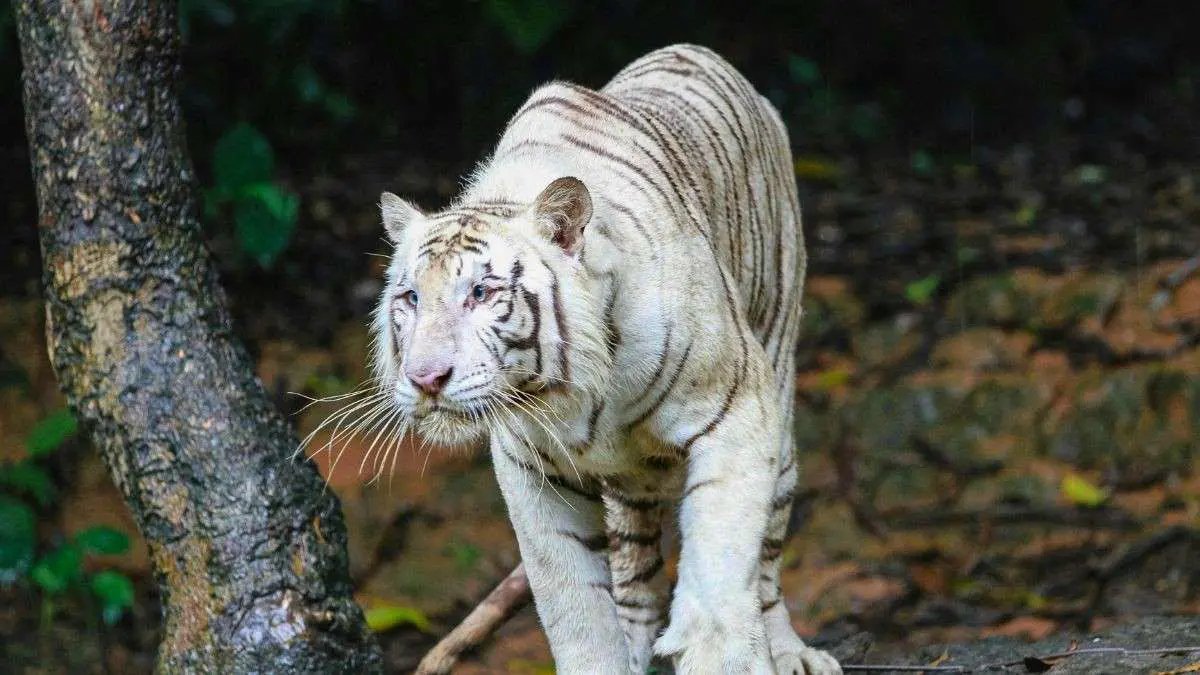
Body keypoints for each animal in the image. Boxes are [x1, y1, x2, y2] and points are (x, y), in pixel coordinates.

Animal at [370, 44, 842, 674]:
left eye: (482, 294)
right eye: (410, 299)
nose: (425, 378)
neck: (569, 392)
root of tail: (699, 51)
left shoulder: (738, 409)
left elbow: (721, 568)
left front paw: (721, 651)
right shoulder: (531, 472)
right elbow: (575, 610)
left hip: (779, 393)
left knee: (766, 556)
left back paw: (790, 651)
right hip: (628, 487)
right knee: (634, 576)